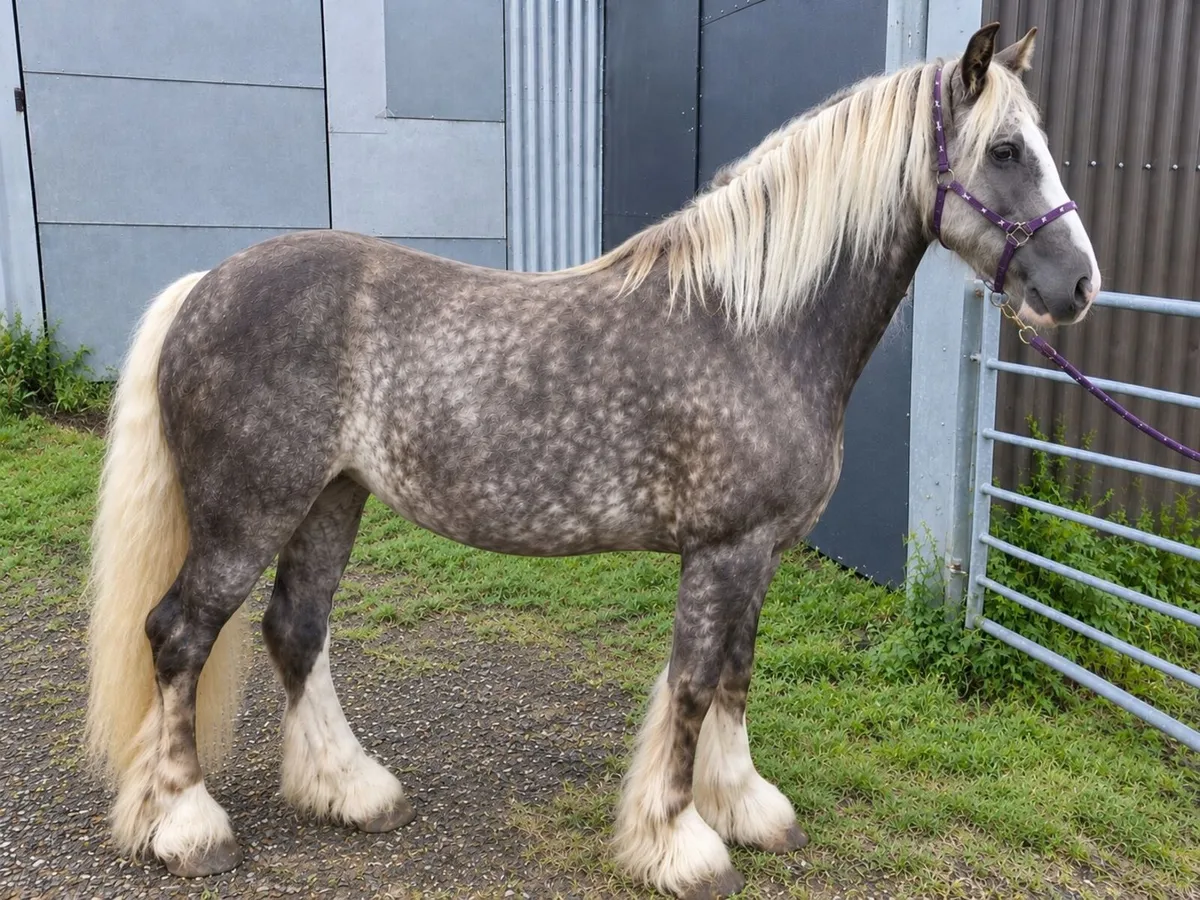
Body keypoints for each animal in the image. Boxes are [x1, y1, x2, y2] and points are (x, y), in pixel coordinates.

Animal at [83, 23, 1099, 899]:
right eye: (1006, 151)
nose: (1080, 285)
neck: (752, 326)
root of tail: (203, 286)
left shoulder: (759, 553)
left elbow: (737, 675)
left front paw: (746, 808)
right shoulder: (723, 551)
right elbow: (693, 686)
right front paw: (681, 843)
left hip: (330, 500)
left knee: (295, 629)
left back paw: (353, 789)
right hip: (246, 514)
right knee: (178, 635)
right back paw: (188, 826)